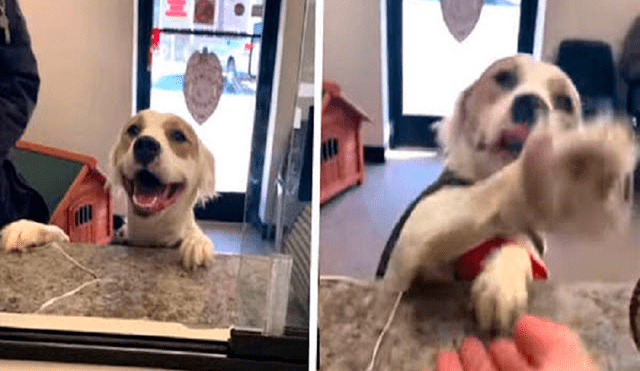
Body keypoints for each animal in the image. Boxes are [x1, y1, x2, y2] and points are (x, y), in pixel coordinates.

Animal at [376, 54, 636, 334]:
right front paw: (556, 174)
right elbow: (483, 195)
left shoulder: (530, 244)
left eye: (564, 102)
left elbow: (517, 247)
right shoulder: (406, 253)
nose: (531, 103)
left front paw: (502, 281)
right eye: (504, 77)